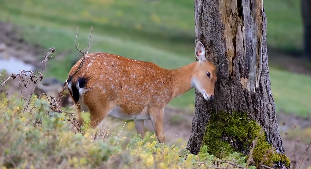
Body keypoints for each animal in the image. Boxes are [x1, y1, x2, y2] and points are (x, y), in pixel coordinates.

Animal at [66, 41, 217, 143]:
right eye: (208, 73)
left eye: (217, 78)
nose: (211, 96)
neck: (171, 86)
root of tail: (75, 76)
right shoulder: (157, 106)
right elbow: (161, 136)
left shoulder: (138, 117)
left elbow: (142, 139)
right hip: (100, 104)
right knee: (86, 130)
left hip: (79, 105)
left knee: (75, 127)